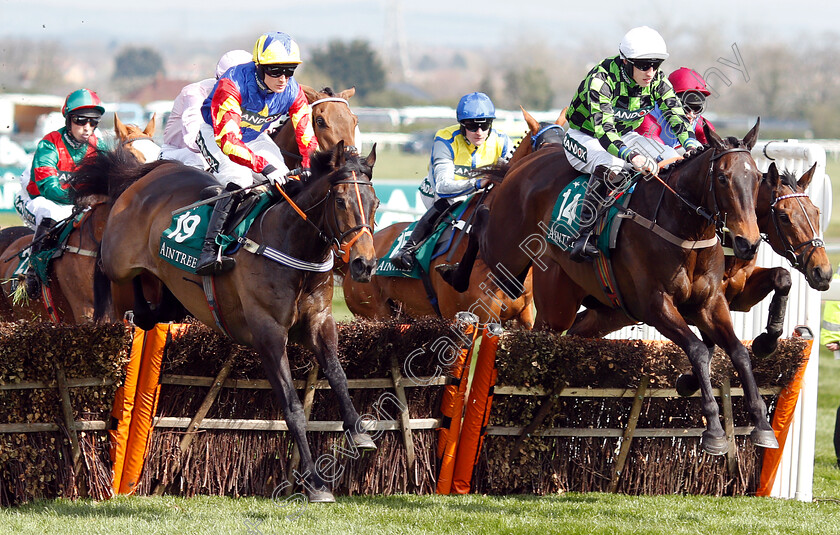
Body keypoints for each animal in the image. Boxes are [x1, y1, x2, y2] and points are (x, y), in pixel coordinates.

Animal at [93, 140, 378, 500]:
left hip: (171, 290)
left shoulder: (320, 322)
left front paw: (359, 432)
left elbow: (339, 377)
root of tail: (153, 171)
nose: (364, 264)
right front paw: (315, 483)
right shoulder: (269, 333)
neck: (293, 245)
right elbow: (293, 408)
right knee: (104, 267)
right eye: (340, 201)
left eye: (375, 203)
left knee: (155, 307)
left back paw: (143, 312)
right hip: (118, 258)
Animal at [442, 121, 776, 456]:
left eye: (758, 178)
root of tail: (529, 161)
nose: (747, 243)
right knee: (483, 222)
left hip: (575, 307)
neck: (682, 228)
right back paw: (454, 273)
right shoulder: (655, 305)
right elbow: (697, 350)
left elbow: (738, 352)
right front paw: (715, 431)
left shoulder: (709, 303)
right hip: (510, 254)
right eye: (722, 178)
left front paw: (761, 424)